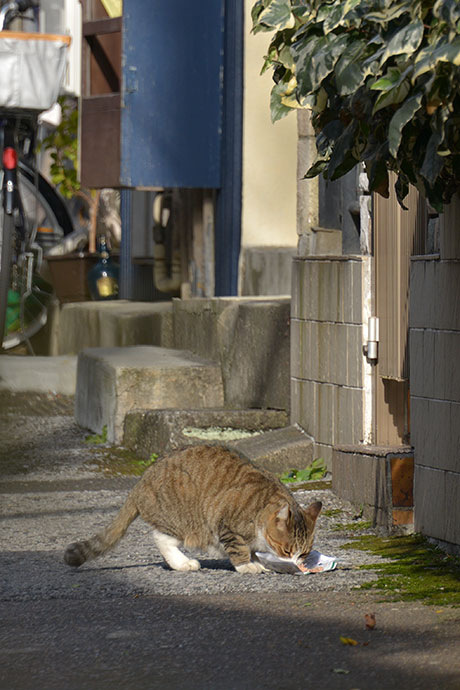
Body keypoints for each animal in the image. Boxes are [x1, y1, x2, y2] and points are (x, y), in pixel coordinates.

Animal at [63, 444, 324, 572]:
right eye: (287, 551)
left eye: (304, 552)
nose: (298, 564)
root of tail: (141, 480)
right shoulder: (227, 524)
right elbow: (239, 549)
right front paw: (248, 566)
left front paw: (258, 561)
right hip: (182, 520)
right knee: (160, 537)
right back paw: (183, 563)